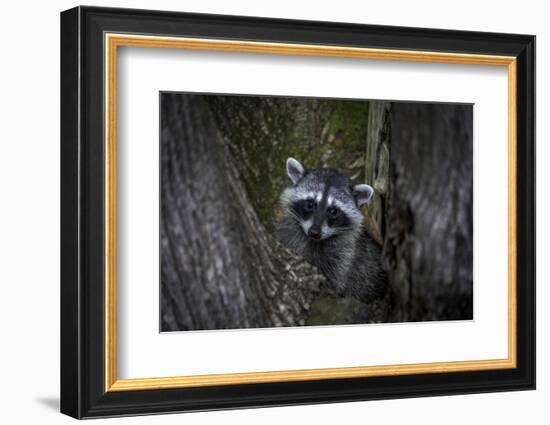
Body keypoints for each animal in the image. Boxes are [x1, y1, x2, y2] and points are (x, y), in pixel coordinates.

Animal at [280, 157, 388, 304]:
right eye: (310, 204)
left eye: (333, 211)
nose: (314, 232)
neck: (314, 241)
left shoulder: (345, 257)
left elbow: (335, 280)